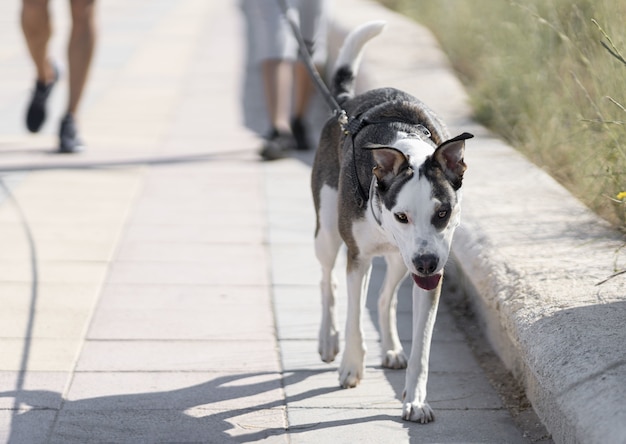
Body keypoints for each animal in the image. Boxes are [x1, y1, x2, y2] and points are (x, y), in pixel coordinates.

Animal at [310, 21, 470, 424]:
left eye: (442, 213)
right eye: (402, 216)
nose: (427, 263)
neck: (406, 147)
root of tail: (344, 106)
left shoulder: (430, 270)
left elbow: (423, 347)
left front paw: (415, 399)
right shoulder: (358, 258)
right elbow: (354, 315)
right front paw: (351, 367)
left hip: (401, 258)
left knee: (385, 298)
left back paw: (393, 349)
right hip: (328, 230)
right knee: (327, 280)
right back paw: (328, 339)